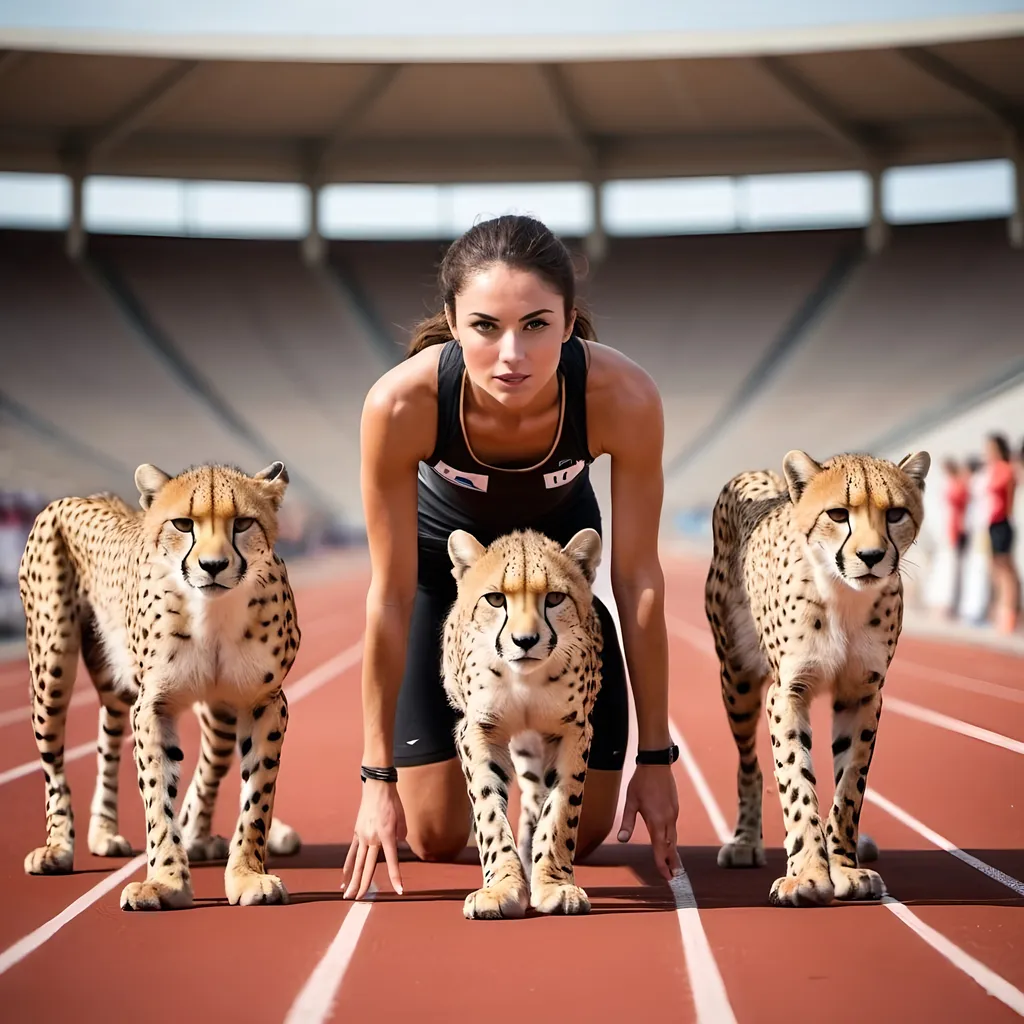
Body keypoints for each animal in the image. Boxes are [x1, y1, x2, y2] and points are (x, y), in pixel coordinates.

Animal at [18, 460, 303, 909]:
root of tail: (86, 496)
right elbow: (157, 798)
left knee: (179, 759)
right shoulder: (153, 706)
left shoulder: (265, 702)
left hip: (210, 713)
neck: (212, 613)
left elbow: (257, 797)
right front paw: (166, 882)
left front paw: (246, 875)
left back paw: (152, 835)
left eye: (242, 523)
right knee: (55, 764)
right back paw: (59, 847)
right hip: (52, 667)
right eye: (183, 524)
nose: (213, 565)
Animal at [442, 528, 602, 921]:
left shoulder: (573, 730)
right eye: (496, 599)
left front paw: (554, 884)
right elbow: (488, 812)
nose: (525, 641)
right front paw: (501, 888)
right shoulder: (478, 730)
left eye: (555, 598)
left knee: (536, 798)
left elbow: (560, 810)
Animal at [704, 448, 929, 905]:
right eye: (838, 514)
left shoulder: (864, 694)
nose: (871, 556)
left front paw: (845, 867)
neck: (843, 596)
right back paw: (744, 841)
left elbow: (850, 786)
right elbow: (795, 781)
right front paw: (807, 874)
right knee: (750, 766)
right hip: (736, 681)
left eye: (895, 513)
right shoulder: (787, 692)